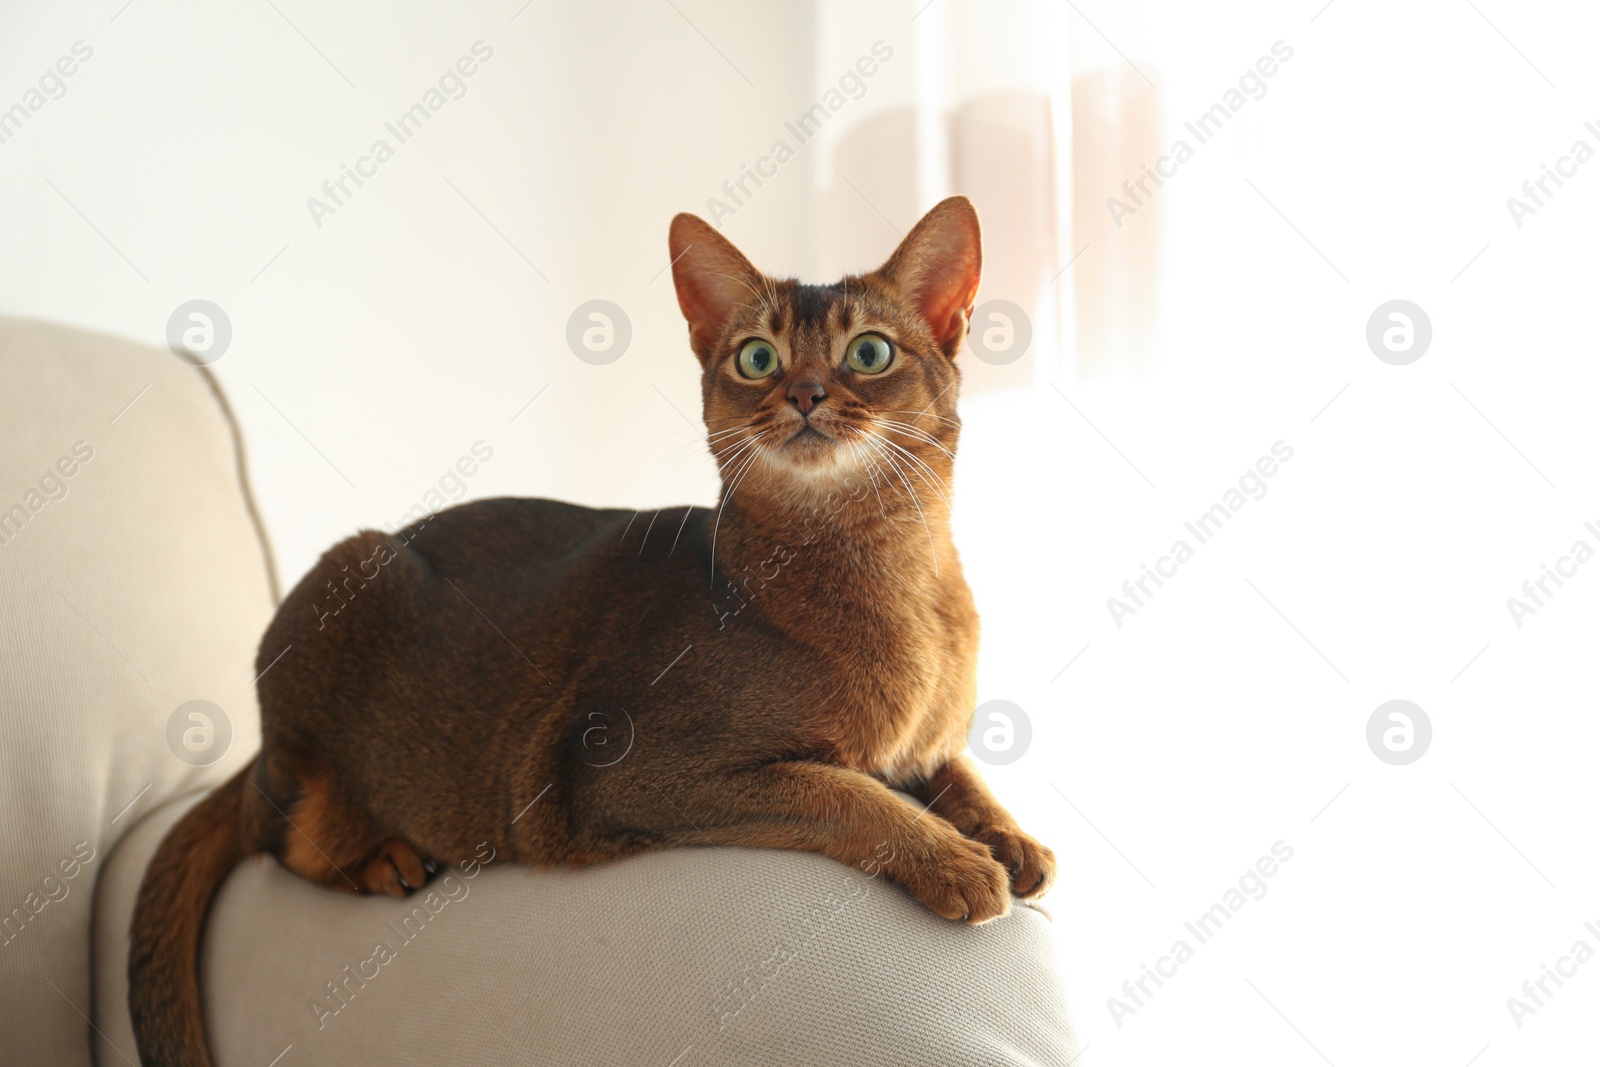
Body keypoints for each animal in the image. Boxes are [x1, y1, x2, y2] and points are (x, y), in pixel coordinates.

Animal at [131, 198, 1056, 1067]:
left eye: (869, 352)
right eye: (757, 357)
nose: (802, 394)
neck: (902, 583)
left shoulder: (930, 741)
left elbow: (957, 768)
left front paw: (1010, 835)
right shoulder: (631, 771)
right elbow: (842, 789)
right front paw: (954, 860)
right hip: (353, 577)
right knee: (278, 835)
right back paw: (379, 858)